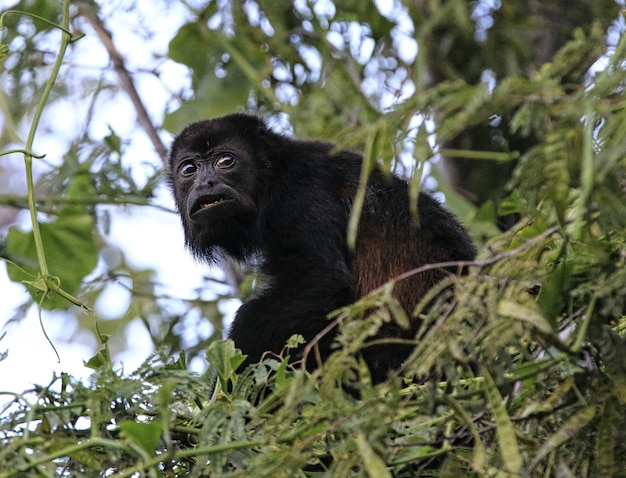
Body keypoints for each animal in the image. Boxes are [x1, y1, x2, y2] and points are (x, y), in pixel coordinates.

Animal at [168, 114, 476, 382]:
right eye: (189, 169)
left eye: (225, 161)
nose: (205, 183)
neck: (271, 175)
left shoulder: (300, 189)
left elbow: (320, 280)